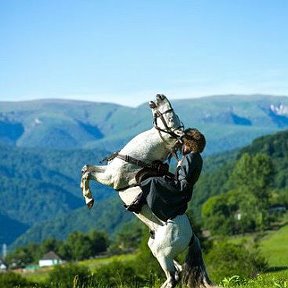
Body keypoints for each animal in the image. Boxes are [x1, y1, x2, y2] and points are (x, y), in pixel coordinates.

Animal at [80, 95, 214, 288]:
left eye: (172, 117)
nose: (160, 96)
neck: (140, 159)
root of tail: (191, 236)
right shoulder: (108, 171)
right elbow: (86, 168)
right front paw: (86, 195)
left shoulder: (111, 178)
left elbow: (87, 174)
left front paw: (88, 199)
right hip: (156, 249)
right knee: (178, 271)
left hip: (163, 253)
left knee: (173, 277)